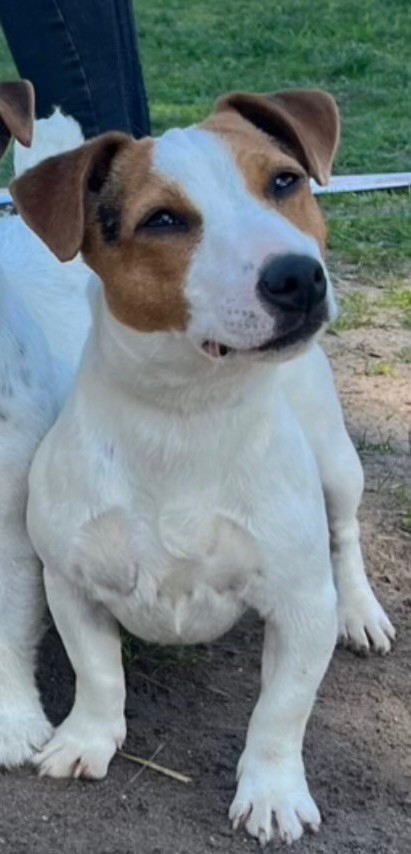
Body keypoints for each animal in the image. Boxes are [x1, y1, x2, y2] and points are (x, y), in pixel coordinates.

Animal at [6, 83, 394, 844]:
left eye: (285, 181)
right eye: (162, 220)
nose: (297, 276)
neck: (183, 416)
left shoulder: (301, 605)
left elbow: (280, 711)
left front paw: (271, 791)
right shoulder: (70, 583)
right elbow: (99, 674)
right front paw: (86, 739)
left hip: (338, 467)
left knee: (345, 536)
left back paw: (361, 612)